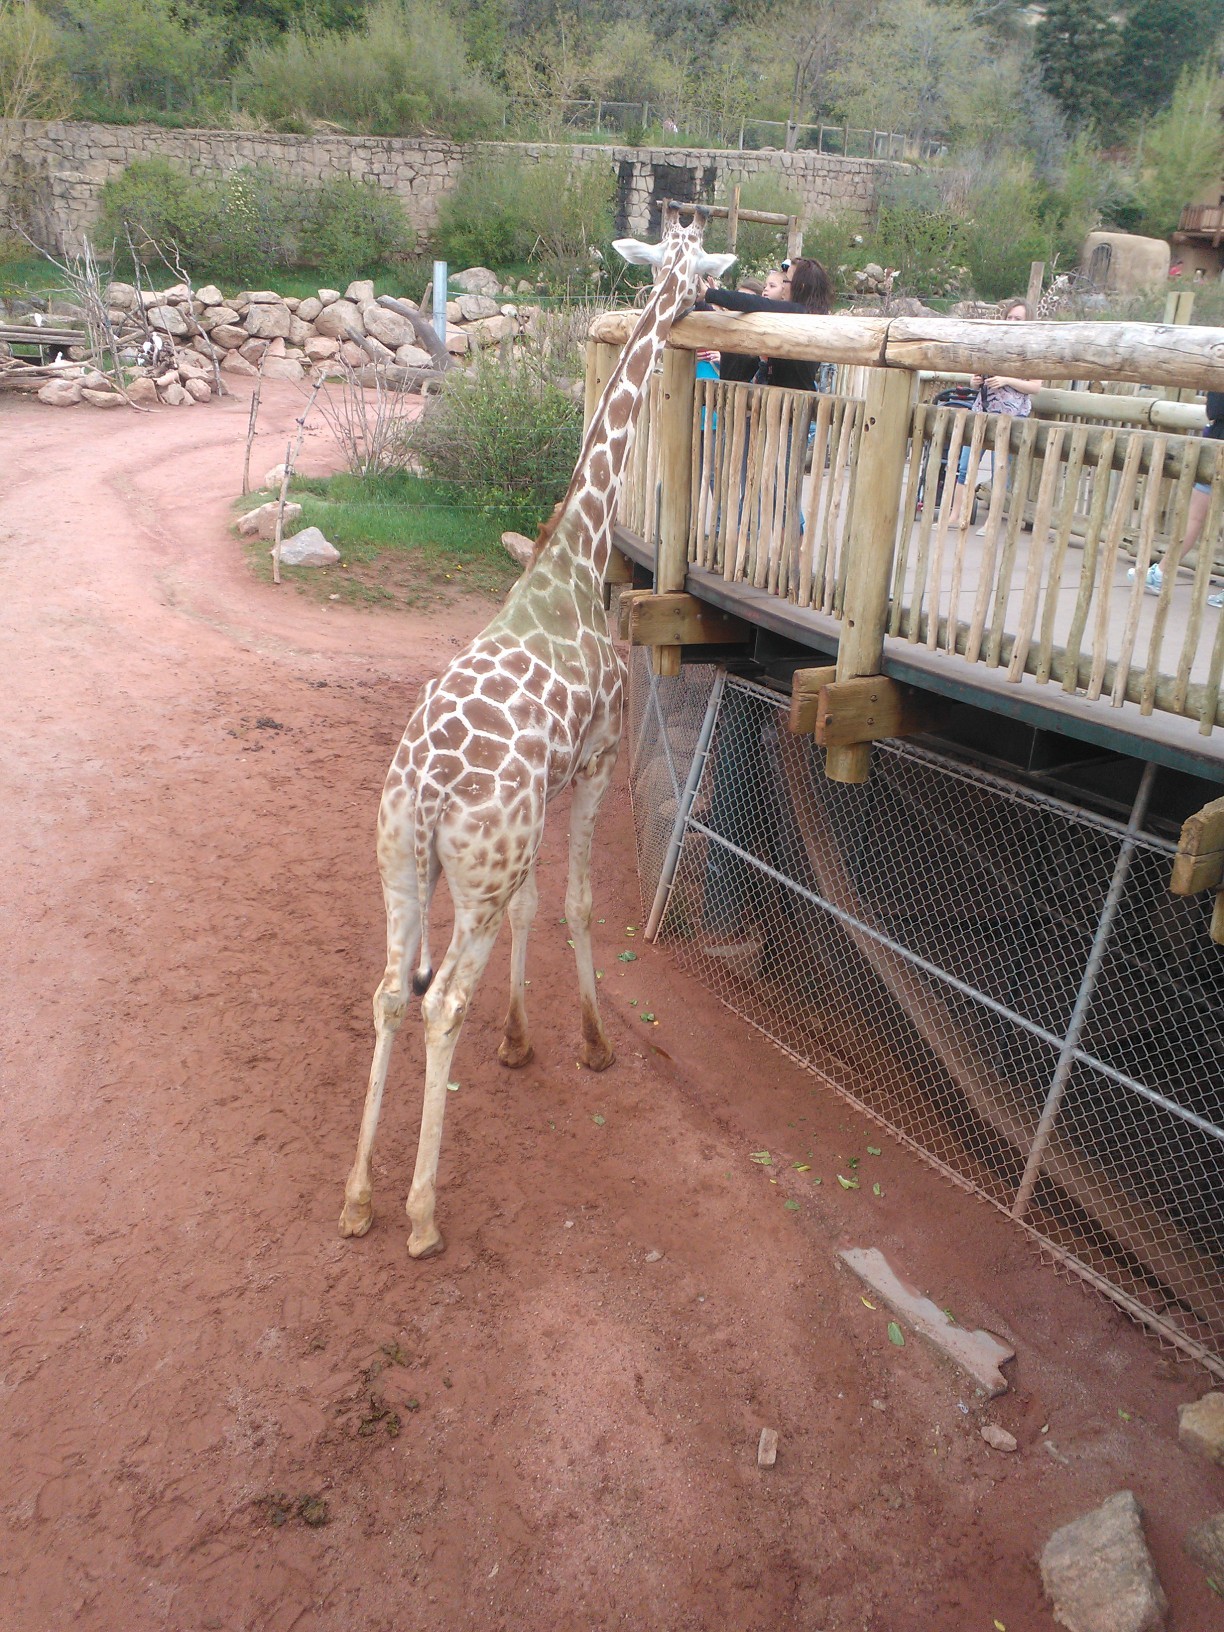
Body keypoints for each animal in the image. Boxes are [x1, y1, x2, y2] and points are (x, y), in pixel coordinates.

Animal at [337, 200, 737, 1246]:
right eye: (699, 266)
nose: (709, 297)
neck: (573, 559)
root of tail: (430, 790)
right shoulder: (594, 761)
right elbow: (580, 903)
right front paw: (592, 1043)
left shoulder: (538, 805)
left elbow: (534, 908)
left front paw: (521, 1042)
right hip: (468, 870)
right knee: (440, 1006)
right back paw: (421, 1213)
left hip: (401, 860)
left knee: (390, 992)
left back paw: (356, 1199)